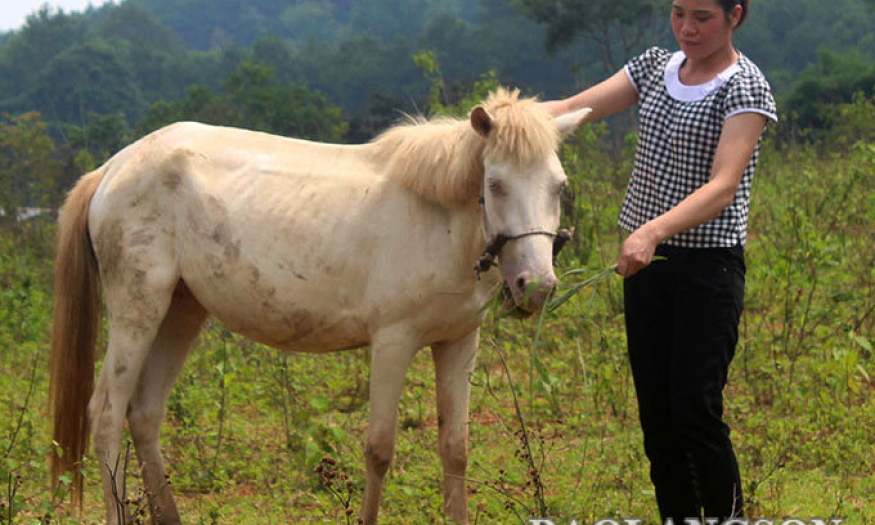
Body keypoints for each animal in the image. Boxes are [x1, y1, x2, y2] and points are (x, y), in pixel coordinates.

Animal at [51, 88, 592, 520]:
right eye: (495, 184)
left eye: (559, 186)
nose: (536, 286)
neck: (435, 218)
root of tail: (113, 168)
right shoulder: (393, 341)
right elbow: (379, 450)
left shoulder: (459, 342)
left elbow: (455, 449)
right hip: (138, 311)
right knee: (107, 413)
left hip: (182, 310)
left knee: (144, 413)